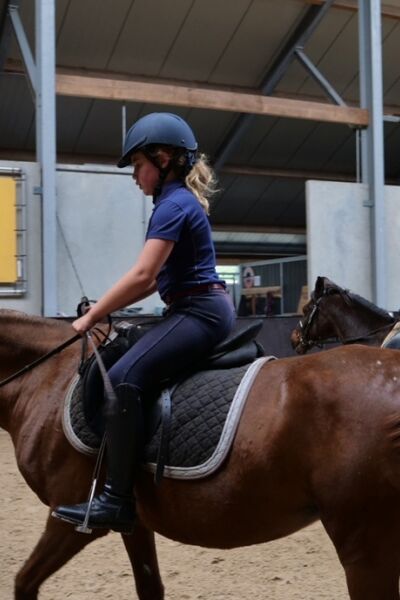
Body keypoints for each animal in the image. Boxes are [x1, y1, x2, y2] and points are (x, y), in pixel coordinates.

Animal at [1, 308, 400, 596]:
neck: (46, 380)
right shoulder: (132, 521)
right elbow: (149, 587)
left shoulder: (69, 517)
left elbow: (24, 582)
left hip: (363, 543)